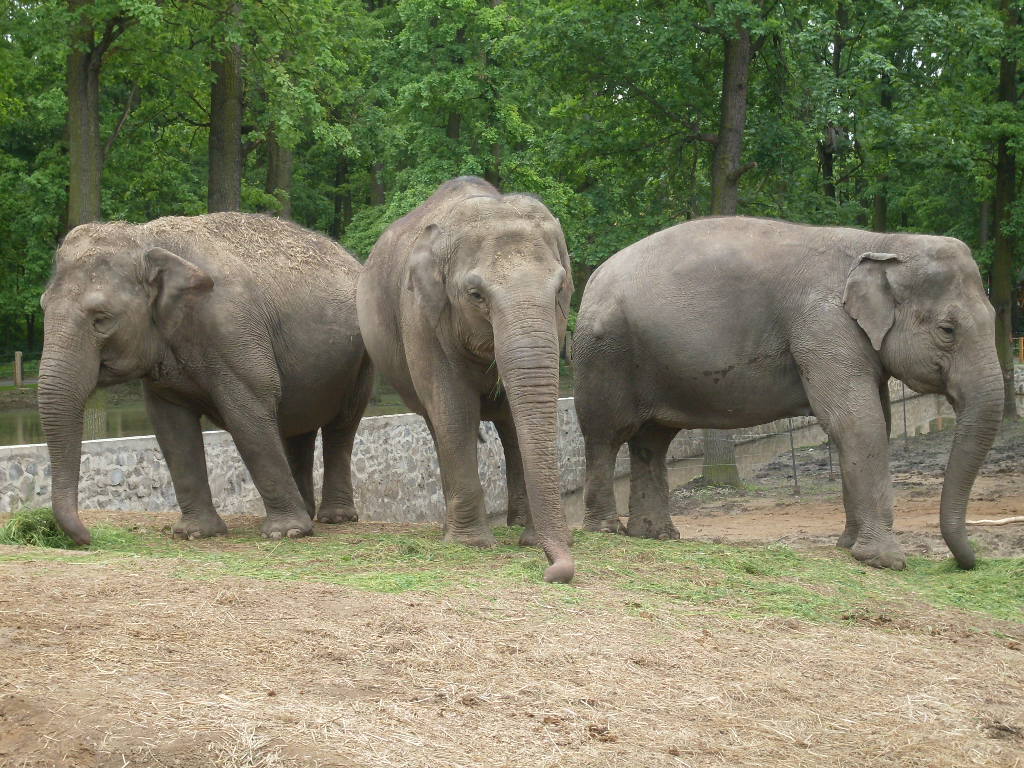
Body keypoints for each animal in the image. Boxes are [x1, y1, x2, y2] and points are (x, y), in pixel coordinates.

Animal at [38, 212, 373, 545]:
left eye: (102, 319)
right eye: (43, 306)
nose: (89, 536)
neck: (145, 237)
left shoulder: (234, 331)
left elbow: (249, 417)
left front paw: (286, 532)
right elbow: (172, 429)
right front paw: (195, 533)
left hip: (360, 364)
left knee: (341, 428)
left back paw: (335, 518)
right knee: (299, 430)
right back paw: (308, 511)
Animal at [357, 176, 575, 583]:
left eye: (561, 288)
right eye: (475, 295)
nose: (555, 572)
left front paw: (529, 541)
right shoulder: (421, 315)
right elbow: (454, 408)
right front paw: (471, 544)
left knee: (509, 427)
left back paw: (516, 526)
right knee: (437, 423)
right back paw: (455, 528)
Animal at [573, 216, 1003, 570]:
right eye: (947, 330)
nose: (966, 563)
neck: (885, 241)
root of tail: (593, 279)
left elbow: (877, 419)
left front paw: (847, 546)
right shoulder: (823, 326)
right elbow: (856, 423)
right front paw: (884, 561)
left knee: (653, 440)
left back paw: (656, 535)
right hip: (605, 355)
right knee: (606, 435)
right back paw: (607, 530)